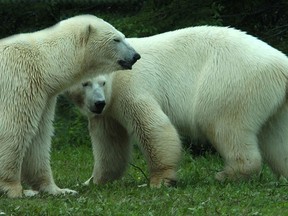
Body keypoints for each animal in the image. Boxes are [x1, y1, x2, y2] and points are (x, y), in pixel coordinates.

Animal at [0, 14, 140, 198]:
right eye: (116, 39)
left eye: (123, 36)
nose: (136, 55)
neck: (44, 63)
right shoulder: (18, 81)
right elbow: (13, 130)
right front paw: (14, 190)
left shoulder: (44, 96)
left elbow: (39, 137)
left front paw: (58, 190)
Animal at [68, 25, 288, 187]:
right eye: (84, 84)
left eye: (101, 83)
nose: (98, 103)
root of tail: (282, 62)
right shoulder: (107, 113)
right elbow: (110, 144)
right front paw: (92, 181)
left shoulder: (131, 88)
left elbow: (153, 127)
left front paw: (158, 180)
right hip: (273, 100)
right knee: (276, 139)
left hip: (229, 81)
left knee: (224, 126)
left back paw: (226, 175)